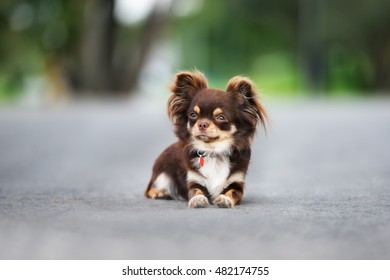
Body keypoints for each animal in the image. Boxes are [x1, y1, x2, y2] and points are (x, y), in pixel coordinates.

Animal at [144, 70, 268, 208]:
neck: (213, 151)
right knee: (148, 189)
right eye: (193, 115)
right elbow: (196, 191)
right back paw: (160, 192)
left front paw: (225, 199)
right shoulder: (194, 180)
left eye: (221, 117)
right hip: (161, 173)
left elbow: (232, 193)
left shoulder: (237, 183)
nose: (202, 124)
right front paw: (197, 199)